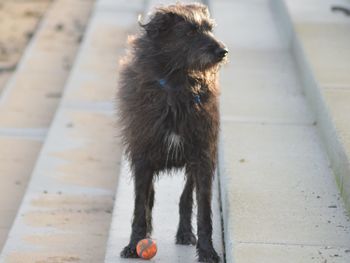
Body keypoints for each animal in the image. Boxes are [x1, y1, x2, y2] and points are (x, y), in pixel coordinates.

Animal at [117, 2, 227, 263]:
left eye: (209, 28)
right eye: (190, 32)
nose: (223, 51)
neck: (178, 84)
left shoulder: (203, 157)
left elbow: (204, 211)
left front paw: (208, 251)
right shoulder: (142, 159)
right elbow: (140, 206)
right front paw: (134, 244)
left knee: (186, 197)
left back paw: (185, 232)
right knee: (149, 199)